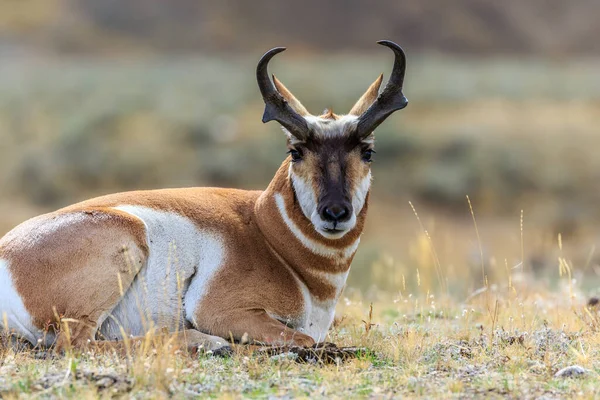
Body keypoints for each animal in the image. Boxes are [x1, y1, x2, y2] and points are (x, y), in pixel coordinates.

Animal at [0, 40, 408, 354]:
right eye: (296, 150)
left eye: (367, 151)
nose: (335, 212)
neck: (266, 231)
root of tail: (8, 250)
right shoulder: (224, 311)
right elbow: (306, 338)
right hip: (125, 243)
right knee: (78, 344)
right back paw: (208, 343)